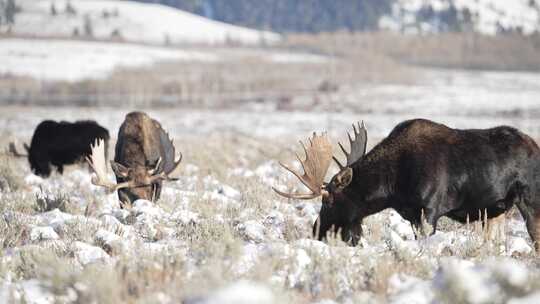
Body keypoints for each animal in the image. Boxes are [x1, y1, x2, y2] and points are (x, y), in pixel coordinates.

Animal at [274, 119, 540, 252]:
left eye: (328, 201)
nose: (316, 231)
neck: (391, 187)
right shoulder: (412, 215)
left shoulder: (429, 210)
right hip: (496, 211)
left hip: (530, 199)